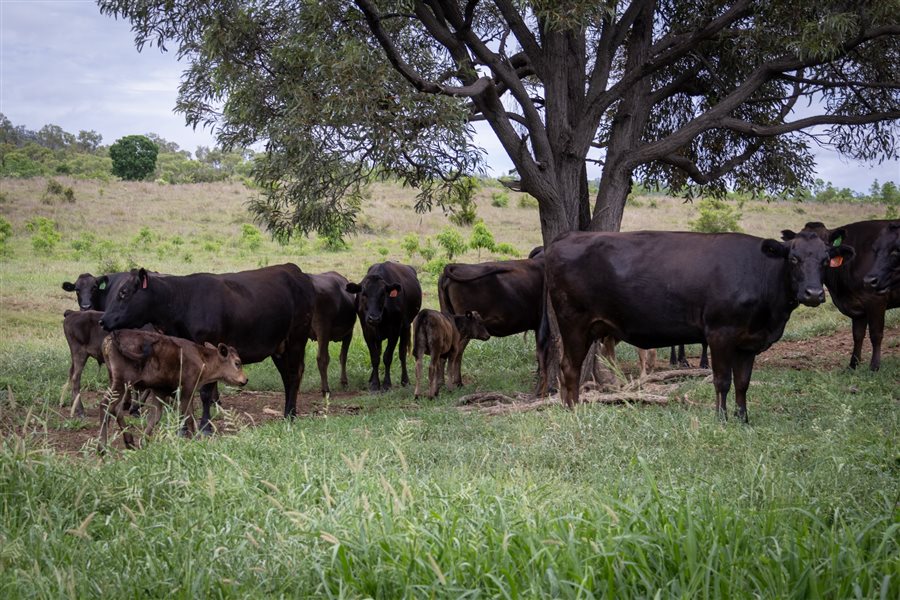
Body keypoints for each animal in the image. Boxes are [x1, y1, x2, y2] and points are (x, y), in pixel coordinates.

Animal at [99, 264, 315, 431]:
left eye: (124, 293)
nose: (103, 320)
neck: (182, 301)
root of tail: (292, 269)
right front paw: (182, 427)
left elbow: (205, 392)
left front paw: (205, 426)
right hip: (279, 348)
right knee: (287, 377)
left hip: (296, 340)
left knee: (293, 376)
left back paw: (290, 416)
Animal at [99, 329, 247, 450]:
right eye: (237, 363)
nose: (245, 380)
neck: (202, 358)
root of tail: (111, 337)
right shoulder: (187, 390)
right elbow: (188, 416)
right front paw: (194, 439)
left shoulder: (160, 391)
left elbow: (155, 416)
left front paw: (144, 441)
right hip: (122, 382)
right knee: (105, 404)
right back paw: (102, 448)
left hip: (116, 381)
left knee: (116, 408)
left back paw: (129, 442)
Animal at [346, 262, 422, 392]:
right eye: (364, 294)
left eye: (383, 294)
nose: (374, 318)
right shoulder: (367, 331)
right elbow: (375, 357)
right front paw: (375, 384)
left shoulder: (395, 331)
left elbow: (387, 357)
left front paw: (386, 384)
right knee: (379, 351)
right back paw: (371, 378)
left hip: (406, 327)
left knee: (402, 353)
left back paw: (405, 380)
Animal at [540, 229, 855, 422]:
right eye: (793, 258)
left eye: (825, 261)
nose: (813, 294)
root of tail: (568, 236)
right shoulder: (720, 333)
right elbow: (722, 380)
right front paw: (722, 418)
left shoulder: (749, 341)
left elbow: (743, 382)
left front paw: (743, 418)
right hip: (574, 323)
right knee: (569, 367)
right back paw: (572, 411)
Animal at [802, 220, 900, 371]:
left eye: (824, 245)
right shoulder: (857, 307)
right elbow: (857, 335)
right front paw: (853, 365)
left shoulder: (876, 300)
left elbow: (876, 334)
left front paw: (874, 366)